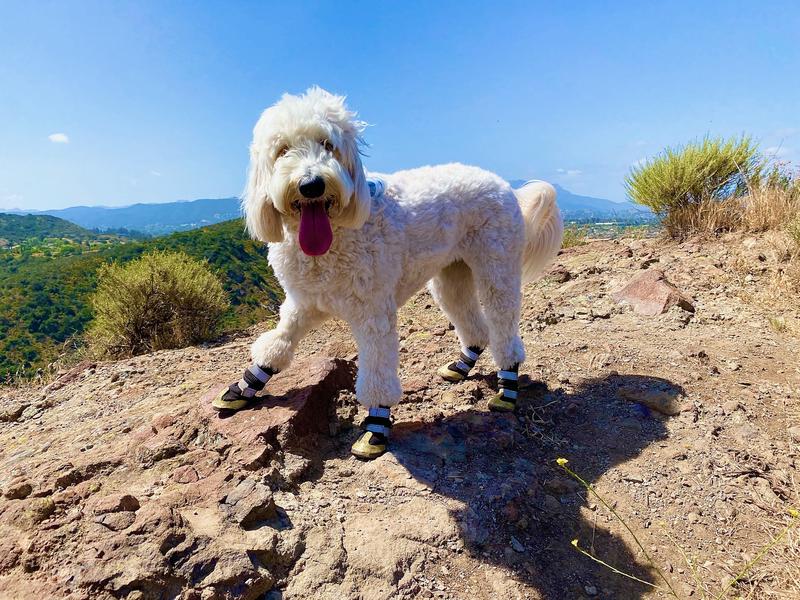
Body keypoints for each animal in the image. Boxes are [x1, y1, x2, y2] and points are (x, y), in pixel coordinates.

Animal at [212, 85, 564, 460]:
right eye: (282, 150)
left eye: (328, 144)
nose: (311, 185)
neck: (335, 236)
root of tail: (505, 185)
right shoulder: (303, 302)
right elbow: (278, 341)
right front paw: (244, 386)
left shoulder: (373, 314)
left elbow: (377, 372)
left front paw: (377, 426)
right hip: (451, 277)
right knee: (475, 327)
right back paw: (461, 365)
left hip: (496, 267)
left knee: (502, 328)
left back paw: (507, 388)